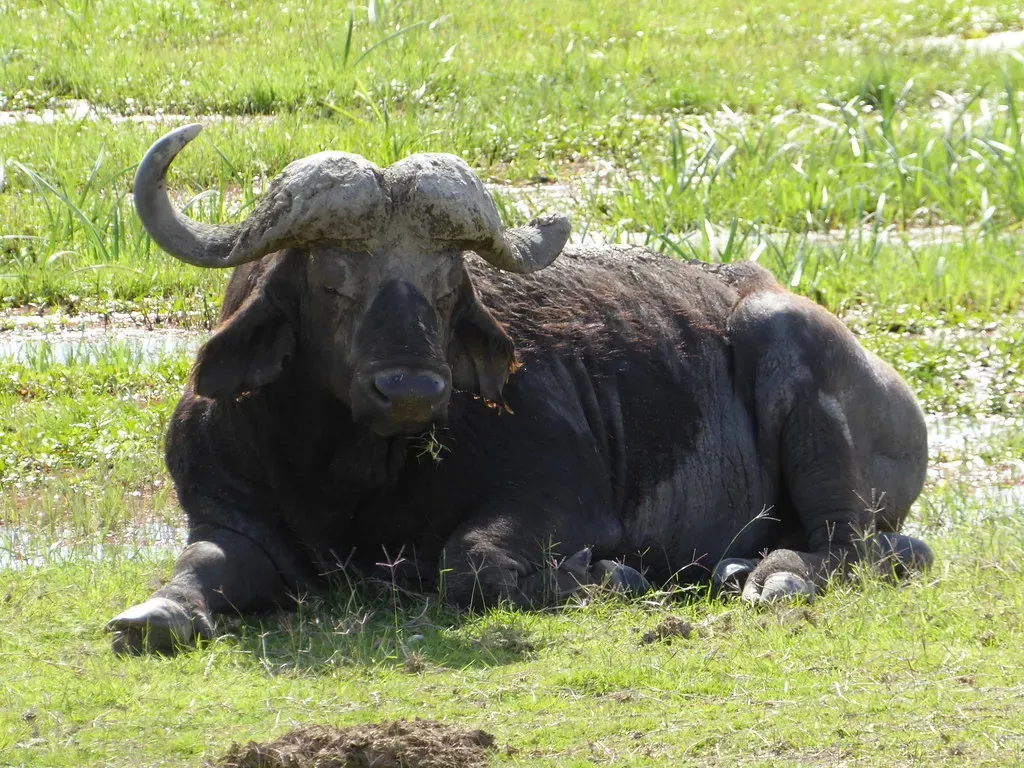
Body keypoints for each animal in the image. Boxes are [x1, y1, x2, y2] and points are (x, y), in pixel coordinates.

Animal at [107, 125, 933, 654]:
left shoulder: (560, 499)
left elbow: (475, 565)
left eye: (447, 284)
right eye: (331, 278)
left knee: (855, 547)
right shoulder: (231, 516)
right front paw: (154, 614)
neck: (352, 470)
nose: (411, 387)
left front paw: (604, 576)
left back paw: (770, 575)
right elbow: (198, 568)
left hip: (795, 368)